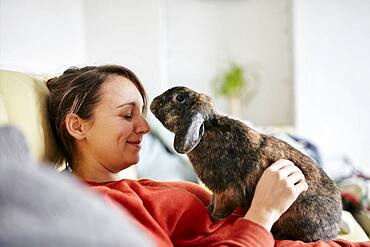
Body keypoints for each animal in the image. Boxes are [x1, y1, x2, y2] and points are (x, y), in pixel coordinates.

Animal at [150, 86, 342, 241]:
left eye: (179, 98)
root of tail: (333, 228)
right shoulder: (217, 193)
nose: (153, 102)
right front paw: (208, 211)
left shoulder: (226, 193)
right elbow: (212, 203)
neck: (208, 129)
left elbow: (219, 211)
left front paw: (212, 220)